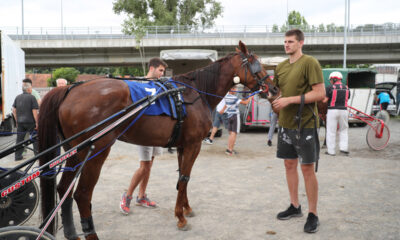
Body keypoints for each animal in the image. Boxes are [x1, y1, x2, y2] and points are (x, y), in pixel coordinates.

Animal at [38, 40, 278, 238]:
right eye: (256, 65)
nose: (274, 89)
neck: (194, 94)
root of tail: (70, 89)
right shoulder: (193, 145)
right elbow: (185, 178)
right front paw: (180, 217)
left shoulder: (182, 146)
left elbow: (182, 177)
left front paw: (186, 209)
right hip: (95, 151)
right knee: (82, 194)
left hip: (75, 151)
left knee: (64, 189)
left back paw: (71, 232)